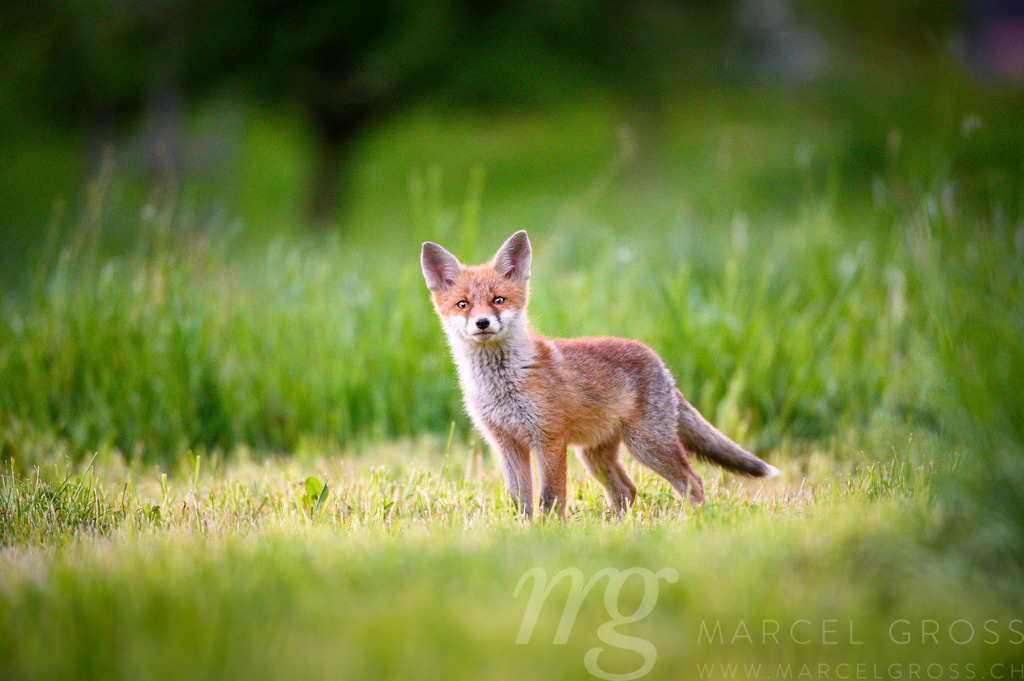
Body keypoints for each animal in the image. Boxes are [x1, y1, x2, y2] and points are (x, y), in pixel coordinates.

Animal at [420, 230, 779, 518]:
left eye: (498, 300)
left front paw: (550, 532)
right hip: (595, 456)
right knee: (627, 491)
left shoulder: (549, 438)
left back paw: (690, 522)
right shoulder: (507, 444)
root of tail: (660, 363)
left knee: (693, 481)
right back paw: (619, 526)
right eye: (463, 304)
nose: (482, 323)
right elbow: (520, 501)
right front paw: (523, 531)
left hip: (647, 445)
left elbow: (551, 497)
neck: (503, 383)